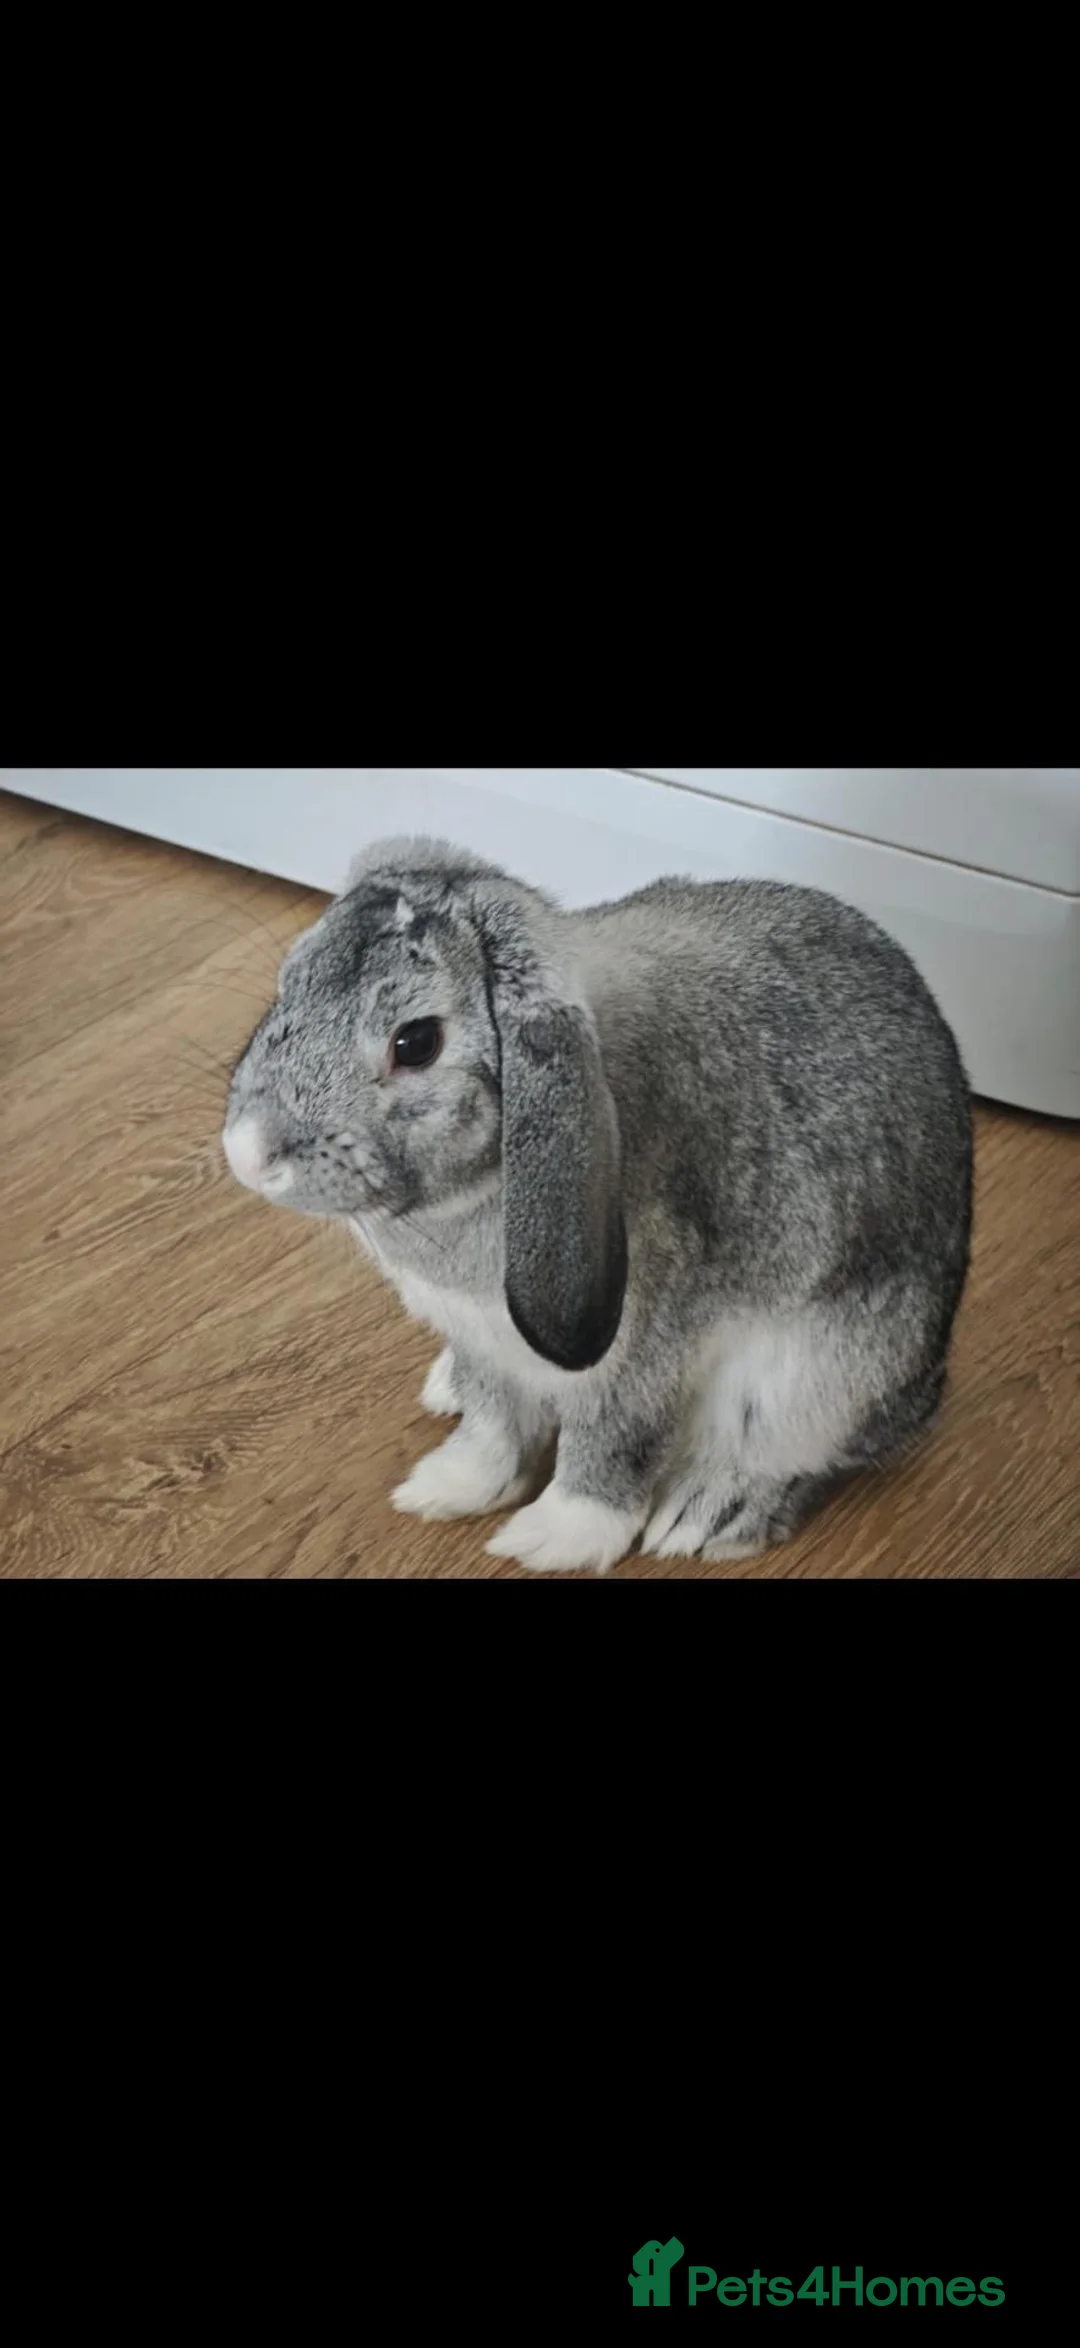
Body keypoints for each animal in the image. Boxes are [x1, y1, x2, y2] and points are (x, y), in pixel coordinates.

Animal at [221, 836, 973, 1572]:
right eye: (289, 984)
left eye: (416, 1043)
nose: (249, 1153)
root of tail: (927, 1390)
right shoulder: (481, 1344)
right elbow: (493, 1427)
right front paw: (447, 1487)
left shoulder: (633, 1357)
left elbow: (609, 1442)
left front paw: (553, 1538)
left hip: (817, 1382)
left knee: (799, 1457)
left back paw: (708, 1514)